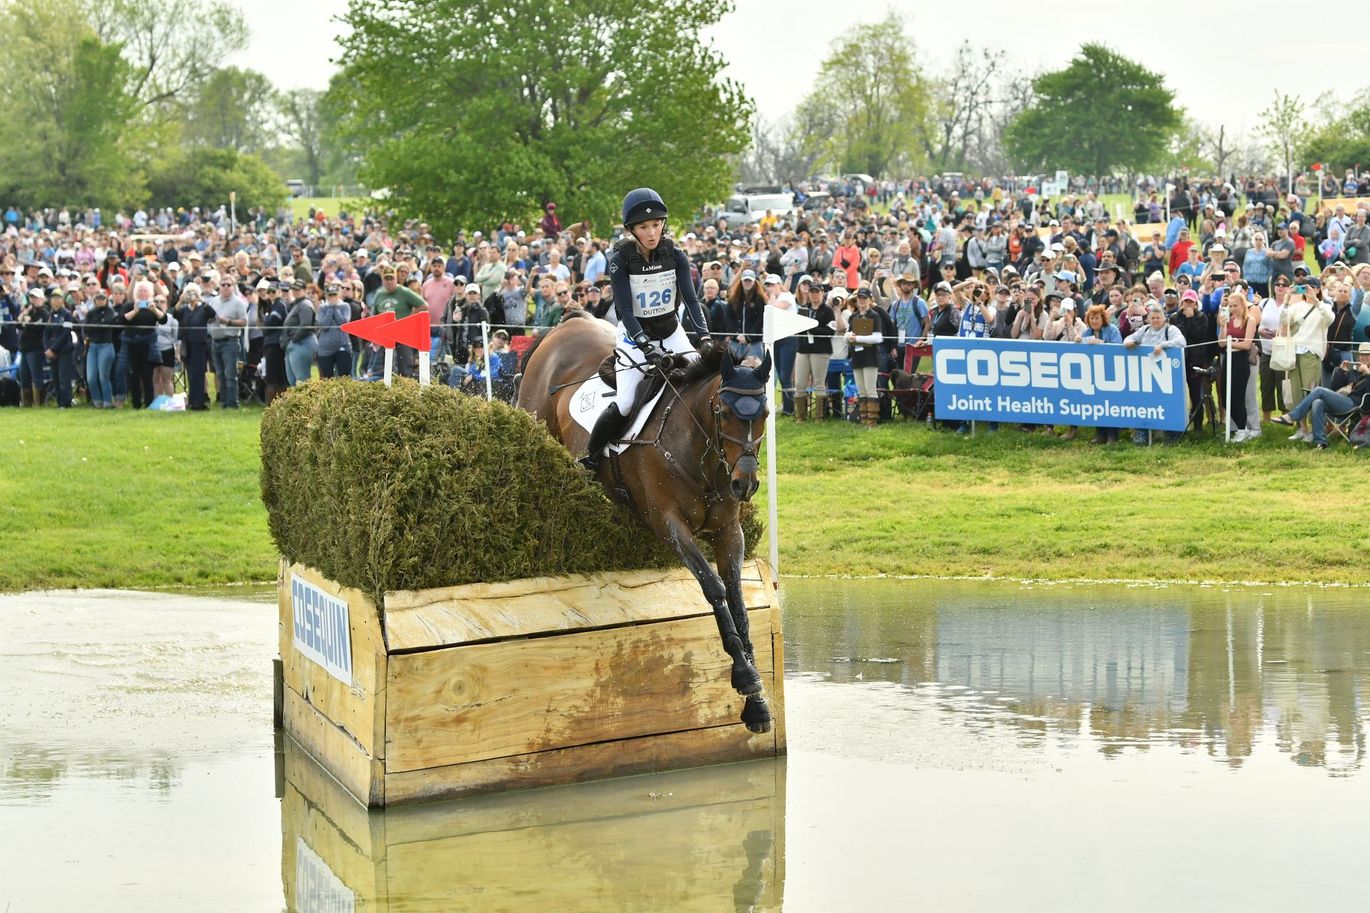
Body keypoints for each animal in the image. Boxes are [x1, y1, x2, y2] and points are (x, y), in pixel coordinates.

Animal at [515, 316, 772, 729]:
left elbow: (737, 597)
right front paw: (745, 676)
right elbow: (713, 588)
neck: (697, 449)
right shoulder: (668, 524)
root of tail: (568, 323)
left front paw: (757, 701)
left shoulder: (728, 532)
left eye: (764, 414)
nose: (744, 484)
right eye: (723, 412)